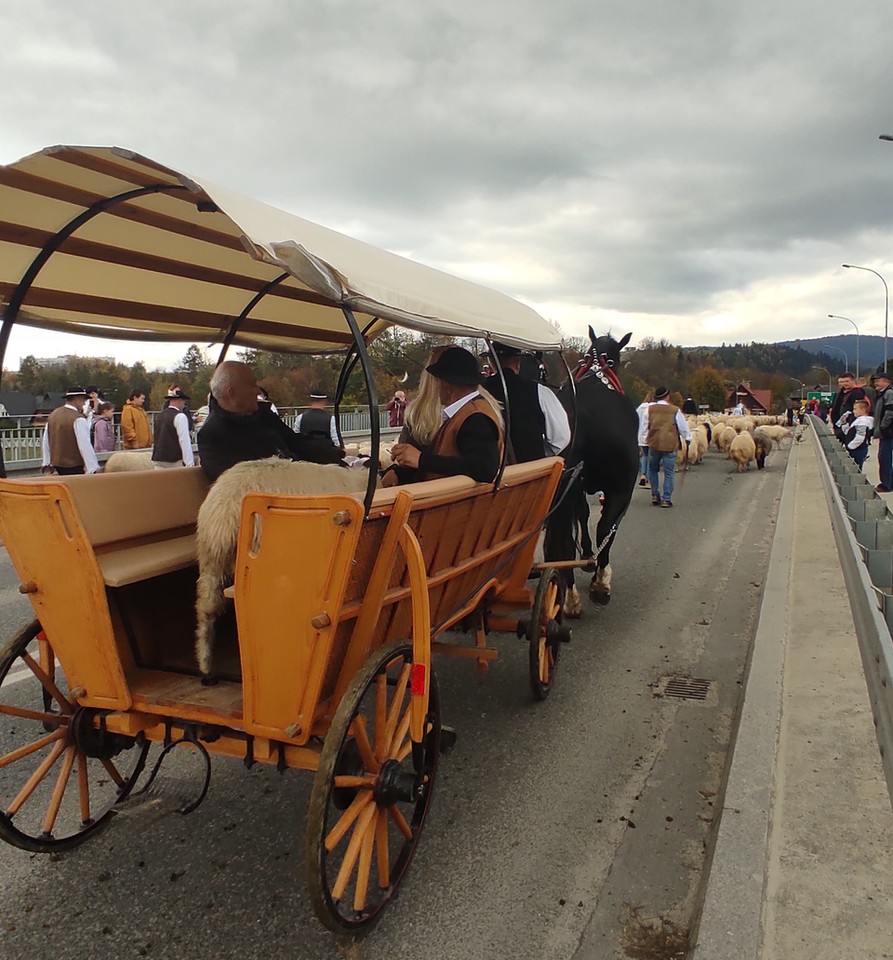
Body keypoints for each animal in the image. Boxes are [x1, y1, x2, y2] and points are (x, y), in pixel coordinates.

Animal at [540, 330, 636, 616]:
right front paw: (598, 576)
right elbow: (604, 527)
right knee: (604, 527)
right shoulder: (620, 490)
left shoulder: (576, 487)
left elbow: (583, 515)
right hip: (620, 488)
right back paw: (592, 587)